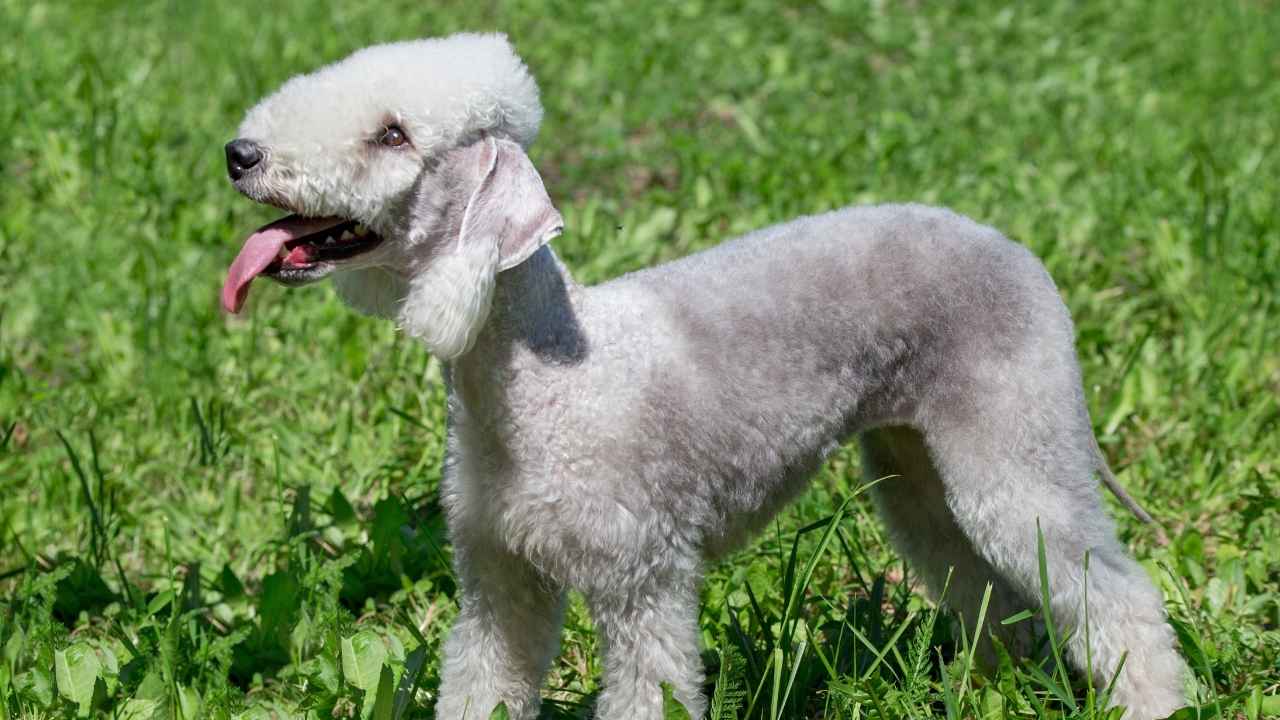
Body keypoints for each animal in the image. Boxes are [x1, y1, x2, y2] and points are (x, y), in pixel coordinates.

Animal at [220, 32, 1187, 712]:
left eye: (393, 135)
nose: (239, 154)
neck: (545, 383)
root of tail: (1018, 251)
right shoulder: (499, 585)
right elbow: (483, 688)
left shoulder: (643, 578)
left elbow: (651, 689)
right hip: (919, 471)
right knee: (990, 595)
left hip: (1017, 452)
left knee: (1117, 599)